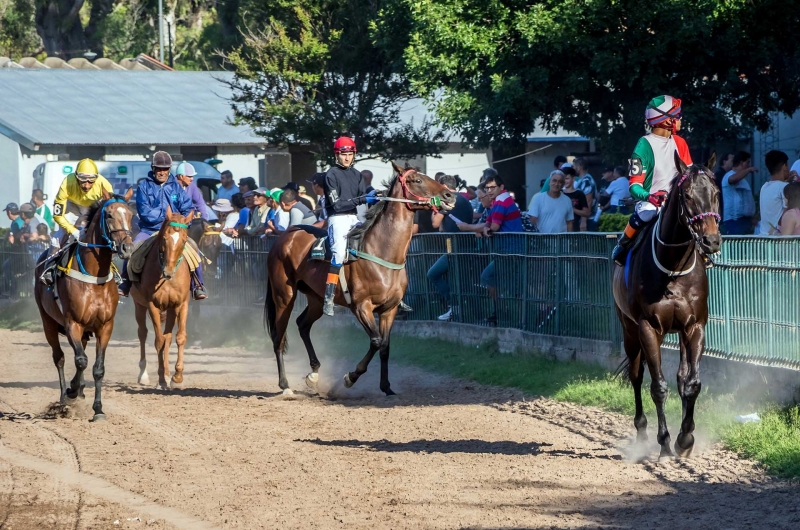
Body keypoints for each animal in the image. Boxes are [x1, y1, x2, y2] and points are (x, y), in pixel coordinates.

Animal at [34, 188, 134, 418]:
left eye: (131, 215)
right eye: (109, 215)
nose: (127, 247)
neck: (94, 276)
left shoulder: (105, 326)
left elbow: (97, 368)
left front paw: (98, 409)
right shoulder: (73, 323)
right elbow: (81, 361)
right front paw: (70, 392)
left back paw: (78, 389)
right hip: (48, 322)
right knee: (60, 357)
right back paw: (65, 396)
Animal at [132, 206, 195, 388]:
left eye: (184, 240)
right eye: (165, 238)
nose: (168, 272)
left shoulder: (181, 304)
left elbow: (179, 337)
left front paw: (177, 376)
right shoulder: (152, 305)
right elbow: (158, 340)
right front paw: (161, 378)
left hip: (170, 310)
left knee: (168, 337)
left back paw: (168, 375)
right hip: (139, 305)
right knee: (143, 333)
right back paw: (144, 375)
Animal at [262, 163, 450, 394]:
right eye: (417, 180)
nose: (449, 195)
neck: (382, 252)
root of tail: (286, 236)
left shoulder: (389, 309)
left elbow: (385, 346)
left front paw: (386, 387)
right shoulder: (361, 306)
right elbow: (376, 341)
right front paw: (350, 377)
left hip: (316, 298)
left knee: (303, 325)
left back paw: (314, 374)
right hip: (284, 296)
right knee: (278, 337)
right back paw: (285, 385)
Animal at [616, 151, 720, 456]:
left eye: (716, 193)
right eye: (687, 195)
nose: (711, 241)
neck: (674, 269)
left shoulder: (695, 326)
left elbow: (692, 383)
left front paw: (685, 438)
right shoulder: (648, 328)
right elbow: (657, 386)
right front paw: (664, 442)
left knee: (681, 376)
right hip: (628, 329)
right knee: (637, 376)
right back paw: (641, 433)